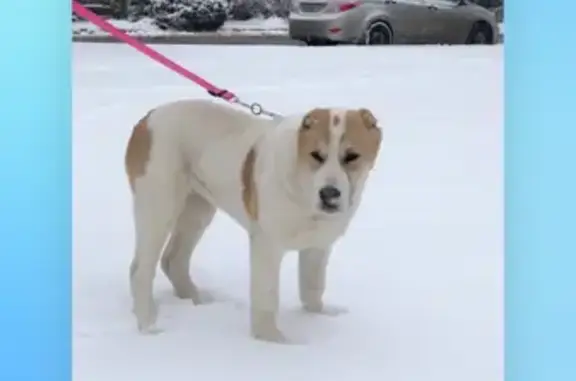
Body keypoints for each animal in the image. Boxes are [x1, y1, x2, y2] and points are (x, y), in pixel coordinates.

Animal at [122, 98, 382, 342]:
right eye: (316, 155)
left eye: (352, 156)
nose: (329, 194)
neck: (303, 186)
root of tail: (147, 119)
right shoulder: (267, 246)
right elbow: (267, 294)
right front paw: (271, 340)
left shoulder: (318, 246)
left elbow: (313, 286)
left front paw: (318, 317)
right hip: (158, 207)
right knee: (140, 270)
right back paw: (149, 325)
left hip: (198, 210)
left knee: (173, 259)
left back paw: (197, 300)